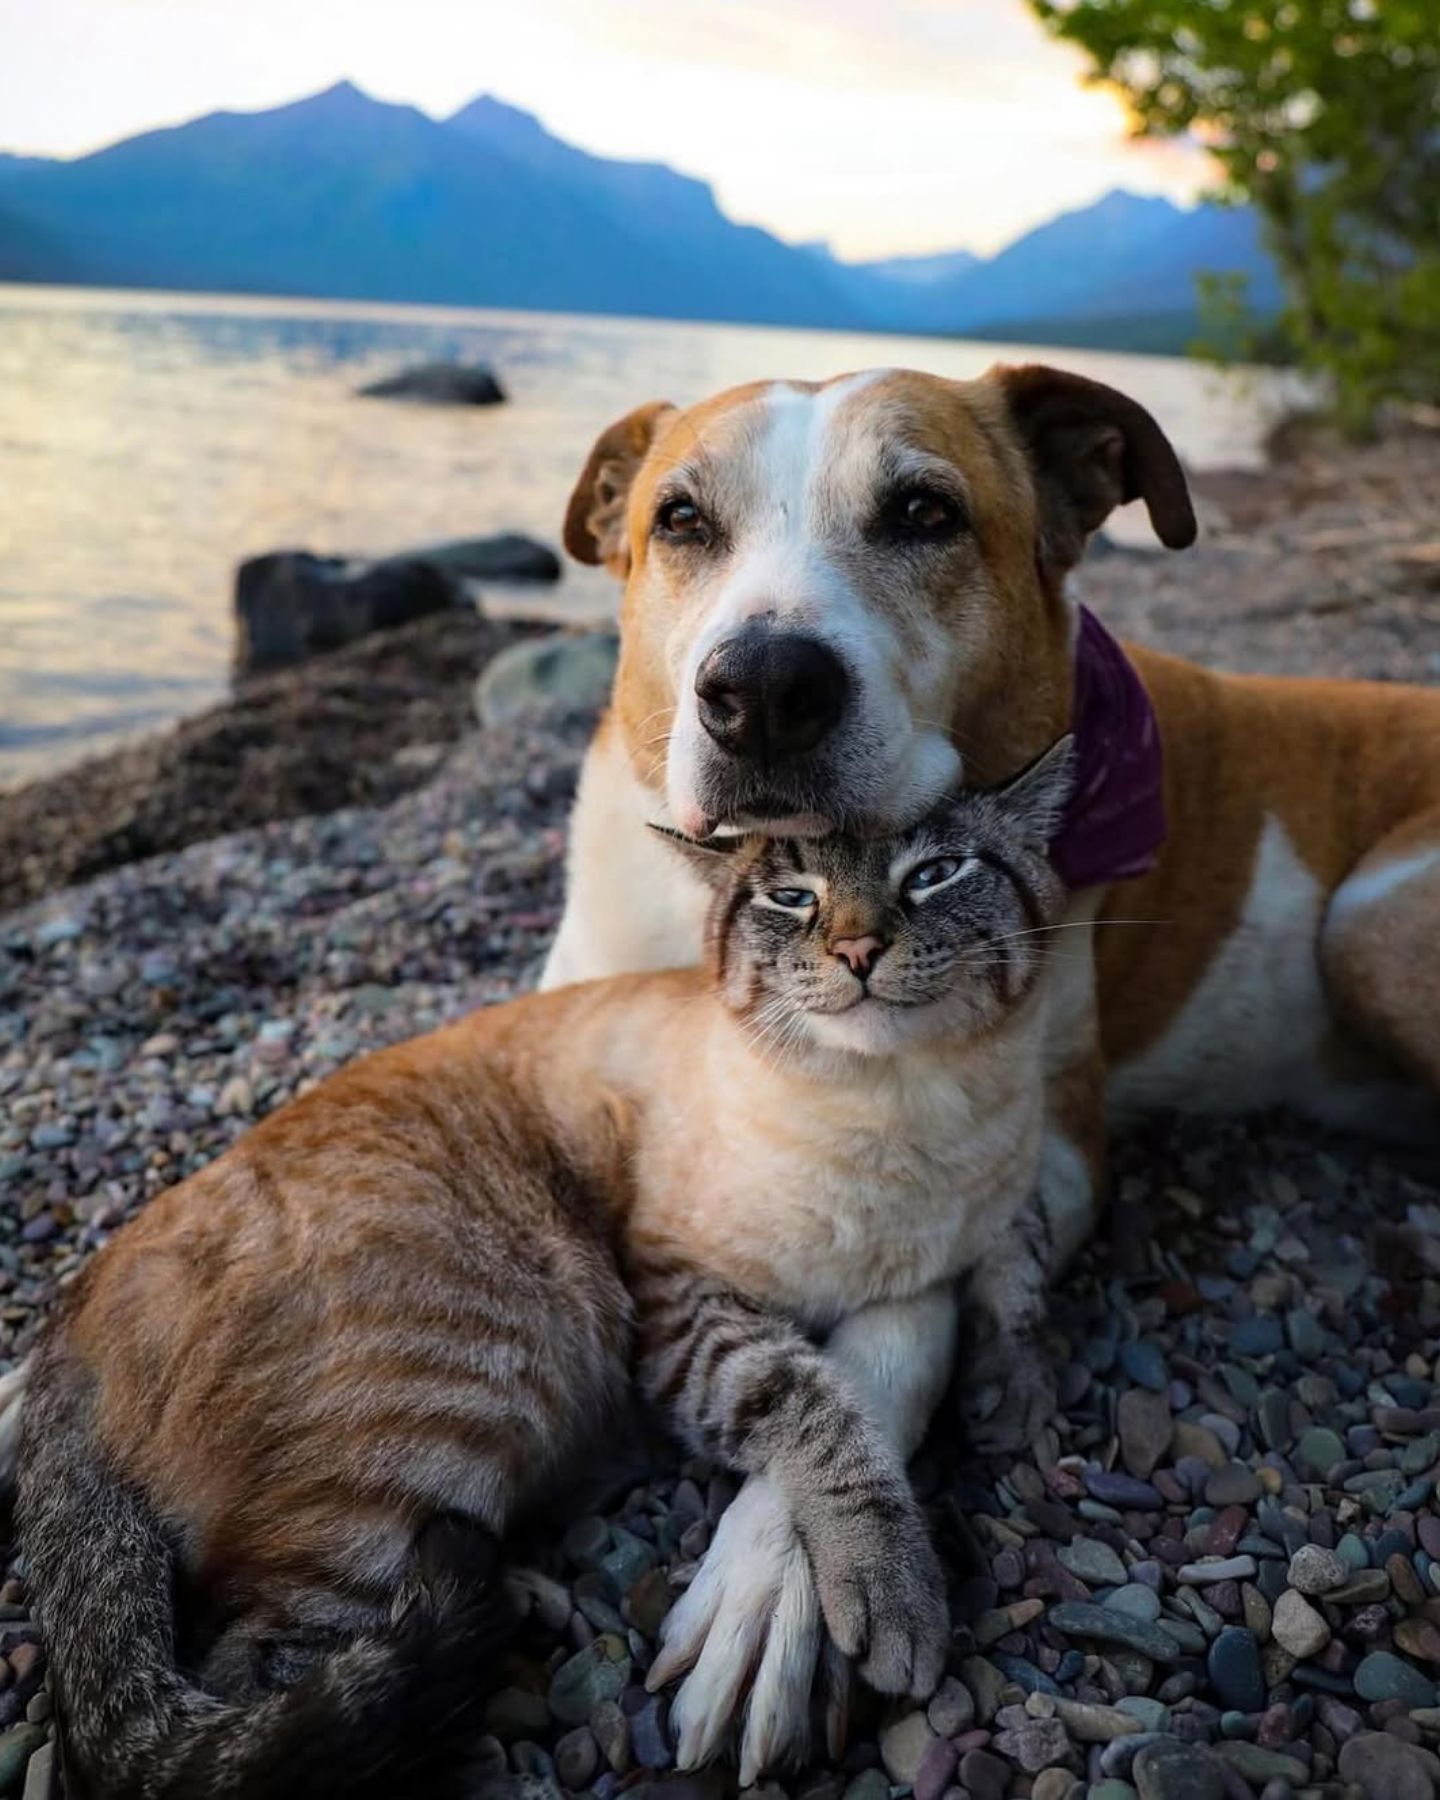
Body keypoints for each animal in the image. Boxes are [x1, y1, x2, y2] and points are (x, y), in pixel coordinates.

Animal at [14, 734, 1065, 1800]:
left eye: (934, 874)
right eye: (793, 898)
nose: (857, 951)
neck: (911, 1111)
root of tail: (70, 1314)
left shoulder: (1002, 1195)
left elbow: (1014, 1275)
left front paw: (1011, 1395)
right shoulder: (677, 1304)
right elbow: (821, 1412)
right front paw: (894, 1592)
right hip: (476, 1381)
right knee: (261, 1693)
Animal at [540, 361, 1440, 1771]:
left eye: (924, 511)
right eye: (680, 519)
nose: (763, 688)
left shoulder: (1049, 1149)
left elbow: (886, 1336)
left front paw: (778, 1583)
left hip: (1372, 925)